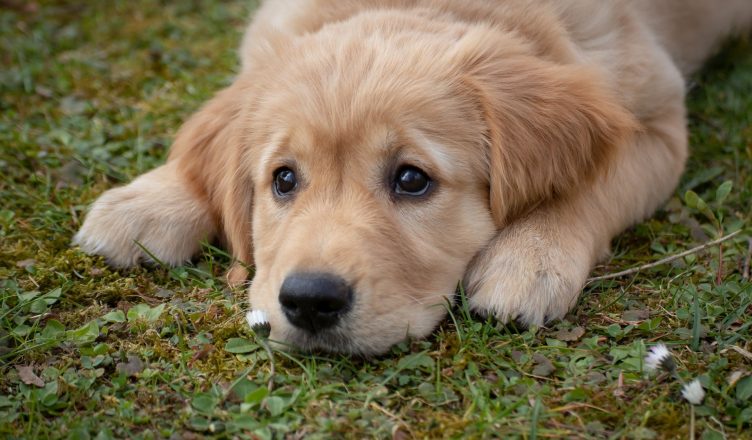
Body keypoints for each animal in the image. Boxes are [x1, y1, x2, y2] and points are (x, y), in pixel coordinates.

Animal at [73, 0, 752, 354]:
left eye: (412, 180)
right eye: (283, 180)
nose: (309, 301)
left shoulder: (658, 120)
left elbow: (591, 185)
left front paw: (530, 258)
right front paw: (148, 201)